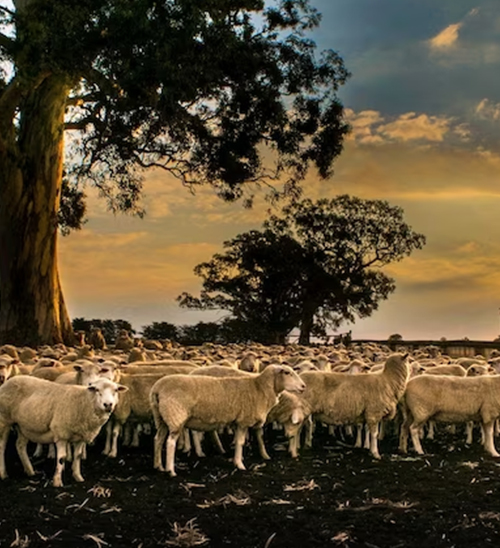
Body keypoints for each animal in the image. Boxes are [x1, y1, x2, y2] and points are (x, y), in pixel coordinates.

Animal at [148, 364, 304, 476]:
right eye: (287, 373)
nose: (303, 386)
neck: (259, 387)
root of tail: (157, 388)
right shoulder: (243, 421)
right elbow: (241, 442)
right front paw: (240, 464)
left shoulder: (239, 421)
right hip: (175, 415)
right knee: (170, 442)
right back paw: (170, 470)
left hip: (161, 418)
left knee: (158, 439)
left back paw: (158, 466)